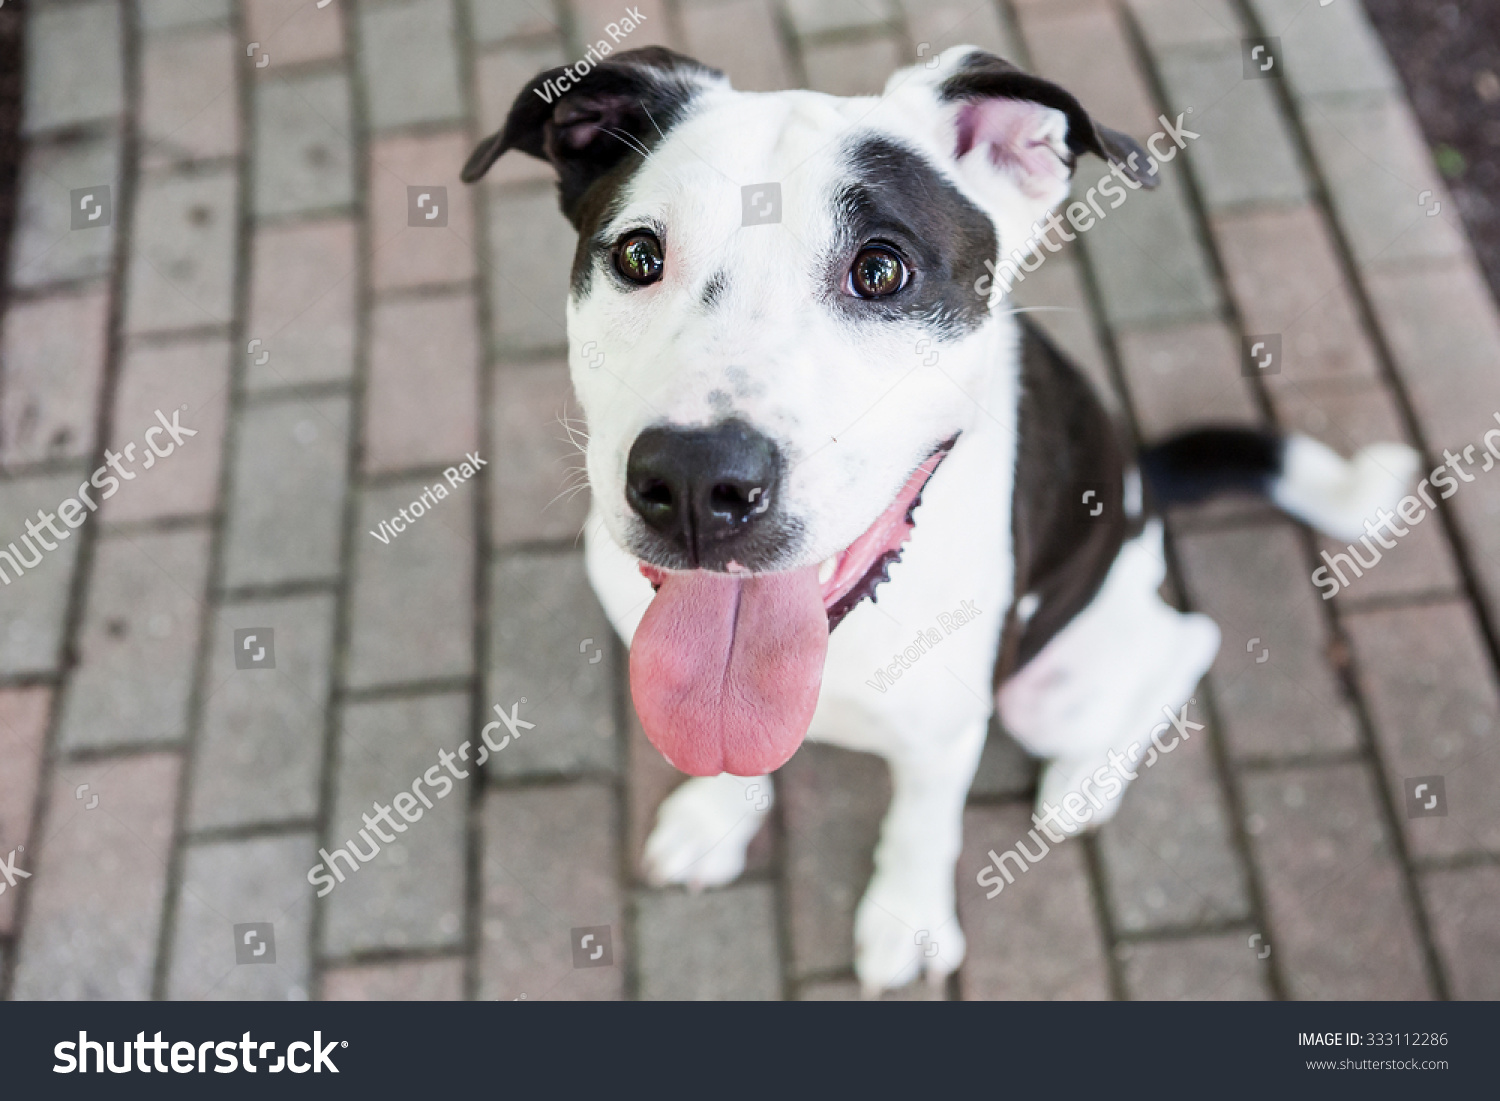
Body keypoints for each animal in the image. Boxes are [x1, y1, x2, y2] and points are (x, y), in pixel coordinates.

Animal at [465, 43, 1416, 996]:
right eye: (637, 255)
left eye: (881, 271)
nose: (698, 482)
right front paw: (715, 815)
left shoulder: (945, 735)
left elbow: (923, 824)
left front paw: (908, 919)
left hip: (1060, 682)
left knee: (1189, 640)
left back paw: (1085, 779)